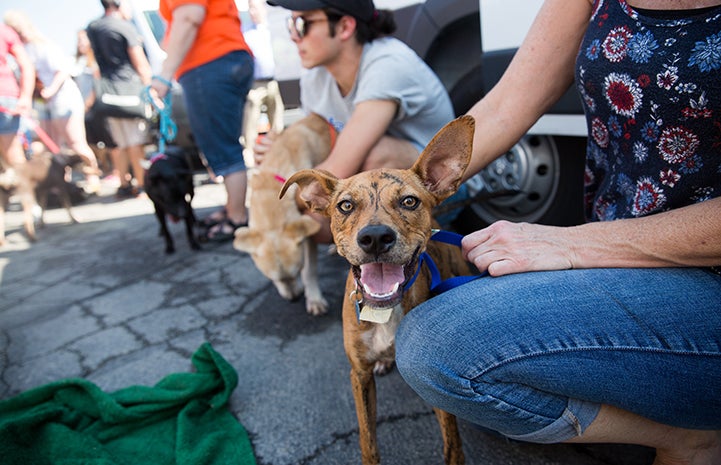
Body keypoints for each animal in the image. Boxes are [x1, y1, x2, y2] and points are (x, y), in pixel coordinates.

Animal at [235, 113, 336, 316]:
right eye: (274, 279)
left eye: (296, 272)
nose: (295, 298)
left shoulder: (308, 234)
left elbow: (309, 270)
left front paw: (314, 299)